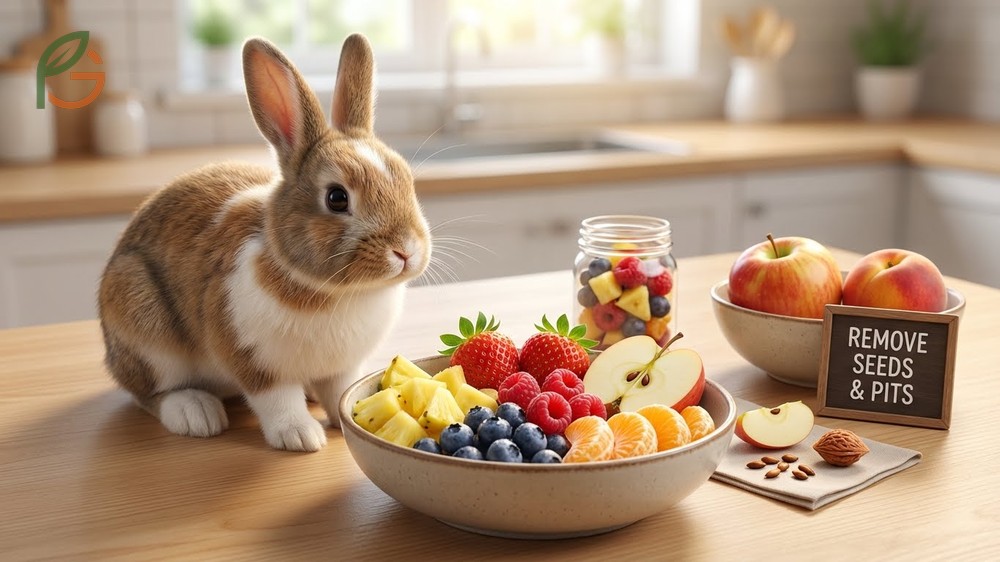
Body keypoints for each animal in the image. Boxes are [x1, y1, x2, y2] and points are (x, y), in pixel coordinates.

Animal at [97, 34, 431, 452]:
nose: (406, 250)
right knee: (149, 393)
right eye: (337, 198)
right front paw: (301, 436)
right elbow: (276, 399)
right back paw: (195, 413)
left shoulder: (340, 369)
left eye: (406, 180)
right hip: (145, 331)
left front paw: (342, 421)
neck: (336, 292)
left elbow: (337, 391)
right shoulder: (252, 358)